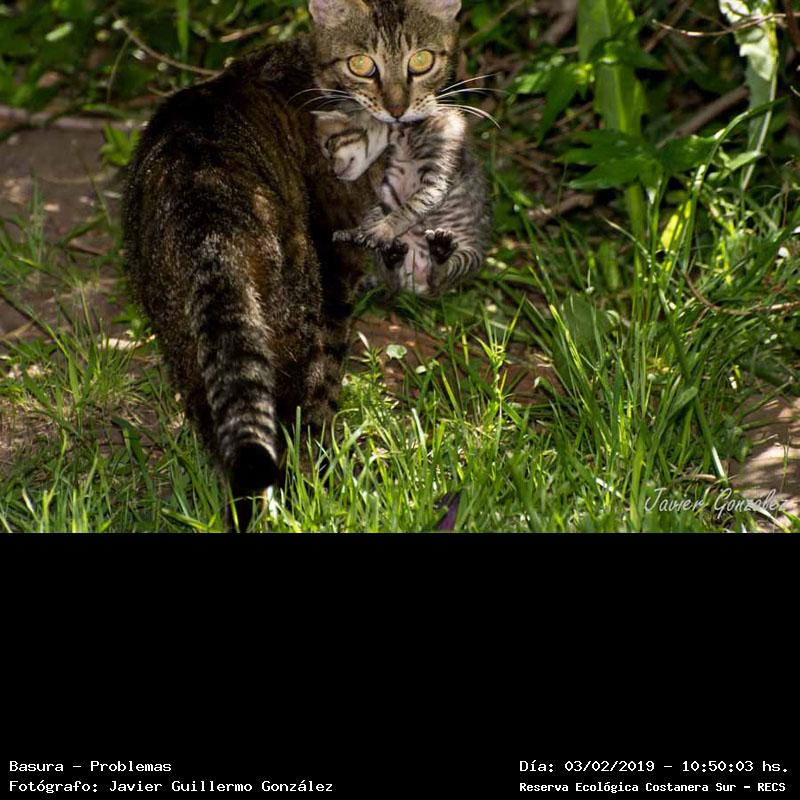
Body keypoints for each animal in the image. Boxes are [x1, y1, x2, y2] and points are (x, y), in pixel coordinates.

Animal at [122, 0, 467, 531]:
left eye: (422, 60)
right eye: (362, 64)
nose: (396, 107)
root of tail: (206, 206)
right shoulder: (337, 266)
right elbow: (326, 388)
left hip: (181, 327)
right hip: (295, 305)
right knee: (292, 406)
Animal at [313, 108, 490, 296]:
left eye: (329, 145)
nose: (333, 172)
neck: (402, 139)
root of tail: (416, 285)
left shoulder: (436, 180)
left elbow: (407, 210)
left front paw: (381, 230)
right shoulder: (392, 188)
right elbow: (378, 213)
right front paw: (358, 231)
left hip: (468, 257)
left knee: (437, 281)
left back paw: (440, 252)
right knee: (393, 284)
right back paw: (392, 258)